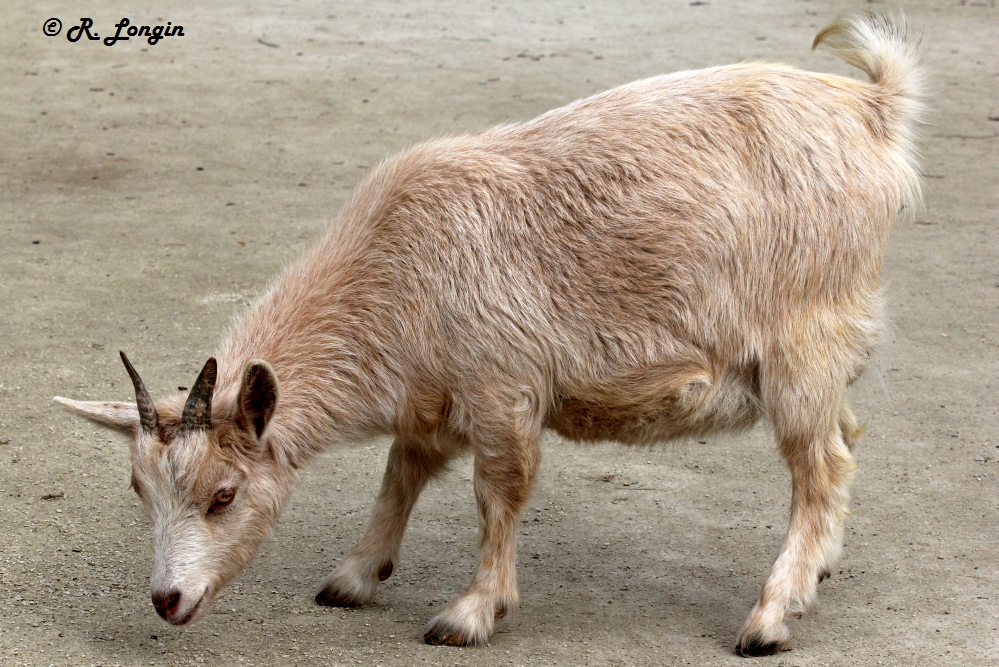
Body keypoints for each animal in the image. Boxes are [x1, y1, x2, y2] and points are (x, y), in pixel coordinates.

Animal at [54, 15, 924, 656]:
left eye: (223, 495)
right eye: (140, 490)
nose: (167, 600)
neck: (394, 270)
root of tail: (872, 110)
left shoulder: (501, 385)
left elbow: (496, 491)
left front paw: (470, 611)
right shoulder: (430, 397)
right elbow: (400, 474)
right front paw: (355, 574)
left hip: (801, 341)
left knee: (821, 465)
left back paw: (770, 615)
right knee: (843, 439)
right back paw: (818, 572)